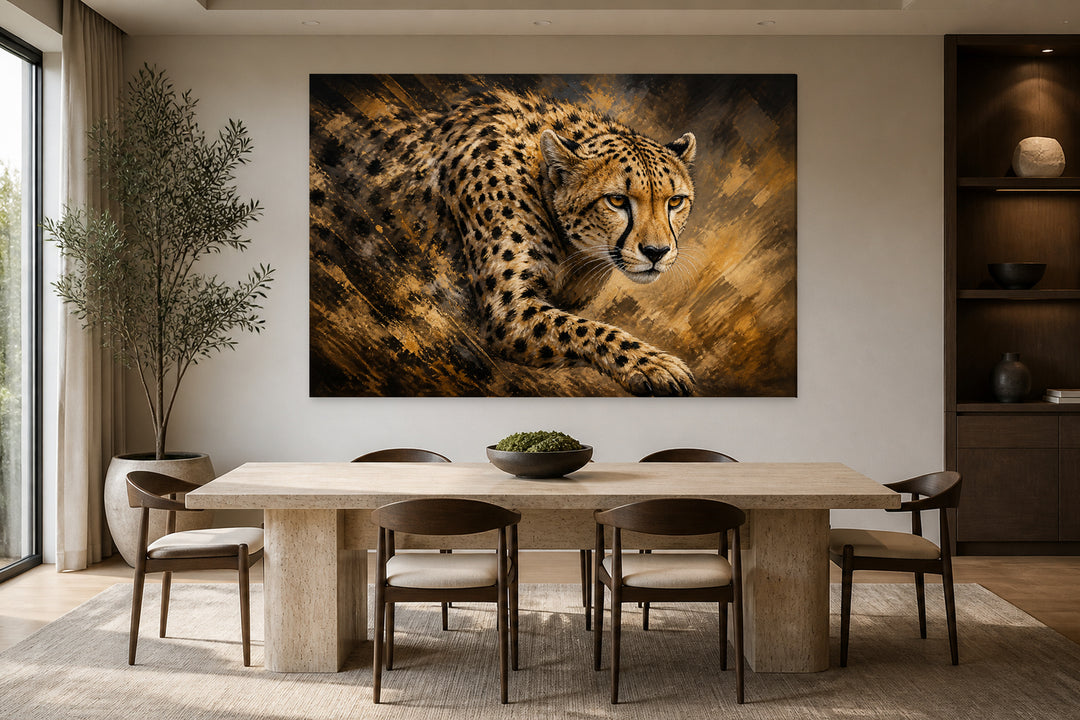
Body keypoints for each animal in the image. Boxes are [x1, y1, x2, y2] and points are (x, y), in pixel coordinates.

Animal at [311, 81, 699, 396]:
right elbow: (590, 331)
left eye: (675, 201)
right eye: (617, 200)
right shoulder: (508, 311)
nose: (656, 251)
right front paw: (654, 364)